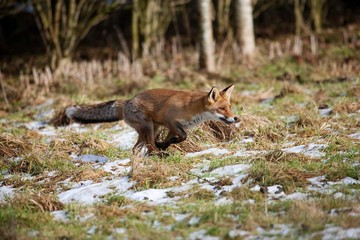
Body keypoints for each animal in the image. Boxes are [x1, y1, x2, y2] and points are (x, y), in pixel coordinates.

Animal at [65, 85, 239, 155]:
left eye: (230, 107)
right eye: (222, 109)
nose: (235, 118)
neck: (192, 108)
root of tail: (127, 101)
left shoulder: (172, 127)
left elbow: (176, 138)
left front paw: (165, 144)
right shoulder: (170, 121)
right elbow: (183, 136)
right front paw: (164, 146)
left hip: (152, 129)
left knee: (137, 148)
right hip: (148, 127)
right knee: (149, 146)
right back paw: (158, 154)